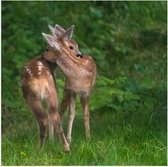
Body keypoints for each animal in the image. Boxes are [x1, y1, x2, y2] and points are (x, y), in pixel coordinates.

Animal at [19, 25, 79, 153]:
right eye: (71, 47)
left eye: (47, 48)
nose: (79, 55)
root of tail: (39, 80)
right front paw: (51, 141)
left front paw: (50, 141)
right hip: (51, 93)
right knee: (53, 117)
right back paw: (66, 148)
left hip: (33, 96)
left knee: (44, 119)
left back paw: (40, 148)